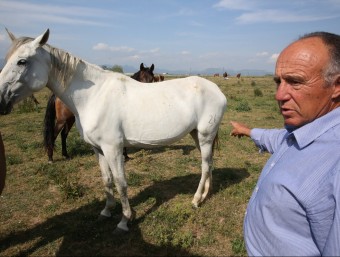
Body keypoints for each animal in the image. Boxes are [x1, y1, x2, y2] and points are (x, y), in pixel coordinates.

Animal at [0, 29, 228, 232]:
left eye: (22, 61)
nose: (1, 100)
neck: (94, 95)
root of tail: (217, 90)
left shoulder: (113, 149)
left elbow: (121, 183)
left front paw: (124, 221)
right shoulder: (98, 150)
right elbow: (107, 180)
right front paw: (106, 211)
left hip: (205, 136)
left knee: (205, 166)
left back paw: (196, 200)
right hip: (196, 135)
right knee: (209, 164)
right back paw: (205, 195)